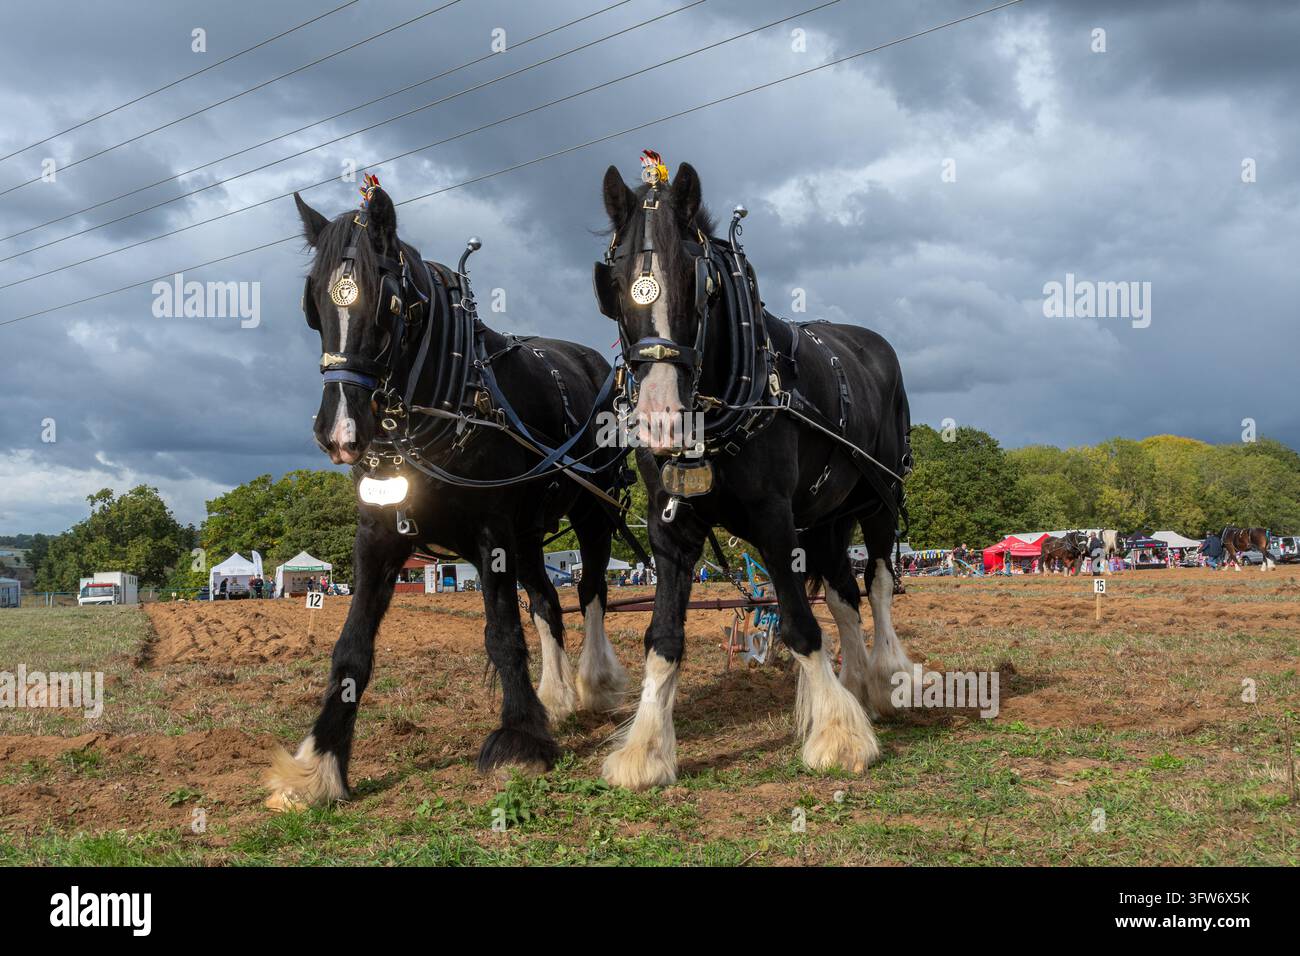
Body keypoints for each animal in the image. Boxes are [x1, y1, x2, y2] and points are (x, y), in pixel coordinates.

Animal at [264, 183, 631, 809]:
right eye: (312, 305)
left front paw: (519, 740)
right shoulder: (378, 537)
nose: (340, 431)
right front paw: (319, 763)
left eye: (386, 305)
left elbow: (503, 634)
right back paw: (555, 698)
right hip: (530, 533)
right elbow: (351, 648)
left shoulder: (491, 532)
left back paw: (593, 683)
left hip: (593, 511)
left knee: (590, 592)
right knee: (547, 603)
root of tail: (595, 361)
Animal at [592, 157, 913, 789]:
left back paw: (886, 681)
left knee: (878, 583)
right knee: (843, 592)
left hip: (878, 499)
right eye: (614, 282)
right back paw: (857, 686)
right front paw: (645, 750)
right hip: (828, 516)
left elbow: (799, 624)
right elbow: (663, 637)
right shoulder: (670, 525)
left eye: (697, 281)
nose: (661, 418)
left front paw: (836, 737)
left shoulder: (773, 519)